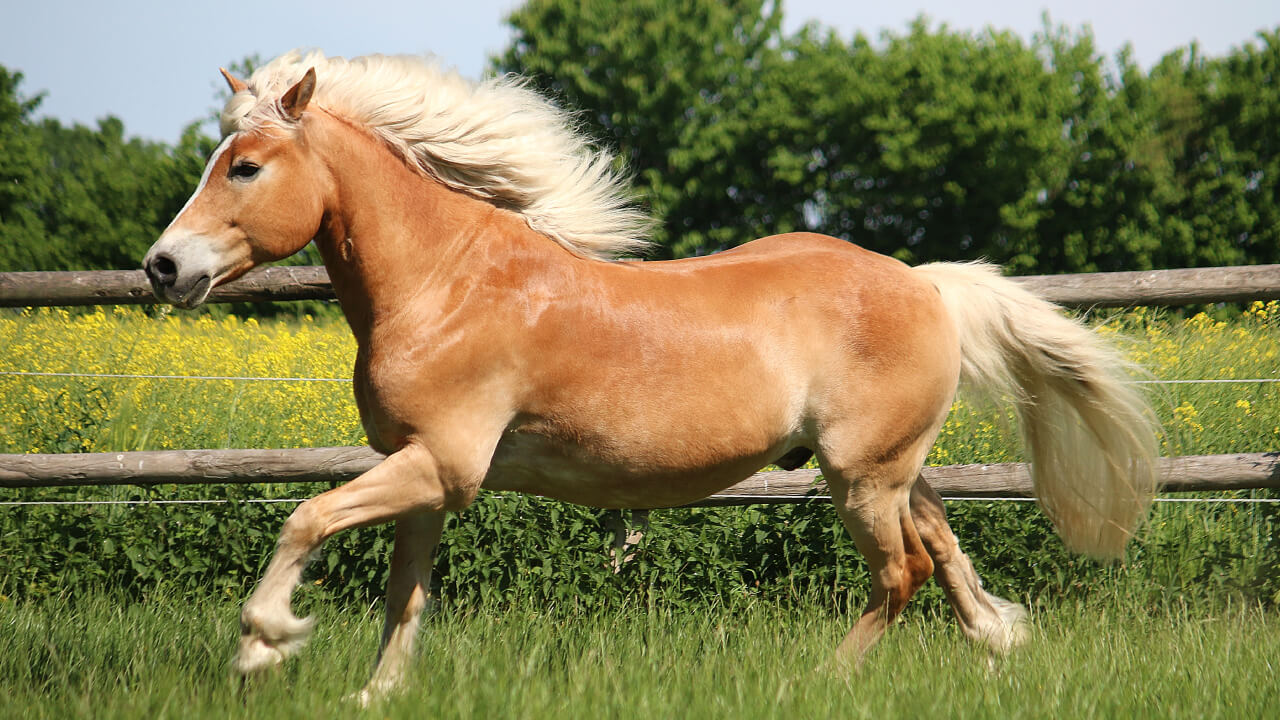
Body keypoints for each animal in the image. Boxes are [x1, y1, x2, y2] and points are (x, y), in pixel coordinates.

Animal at [142, 50, 1158, 700]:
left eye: (245, 166)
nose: (162, 267)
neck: (445, 284)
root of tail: (925, 284)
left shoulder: (445, 466)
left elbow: (306, 518)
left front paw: (264, 645)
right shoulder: (423, 476)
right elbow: (404, 596)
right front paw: (373, 695)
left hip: (860, 477)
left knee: (898, 575)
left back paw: (816, 681)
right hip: (891, 468)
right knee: (944, 548)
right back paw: (998, 643)